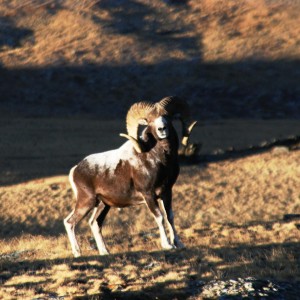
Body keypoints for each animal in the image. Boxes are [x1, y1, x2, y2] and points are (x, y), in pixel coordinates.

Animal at [63, 96, 197, 258]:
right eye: (150, 120)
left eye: (167, 117)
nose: (162, 129)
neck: (159, 159)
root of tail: (76, 169)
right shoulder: (149, 195)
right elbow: (159, 217)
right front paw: (167, 245)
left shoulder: (167, 193)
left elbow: (170, 217)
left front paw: (179, 244)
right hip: (86, 202)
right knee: (70, 222)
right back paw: (78, 254)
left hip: (103, 205)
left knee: (94, 223)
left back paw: (105, 252)